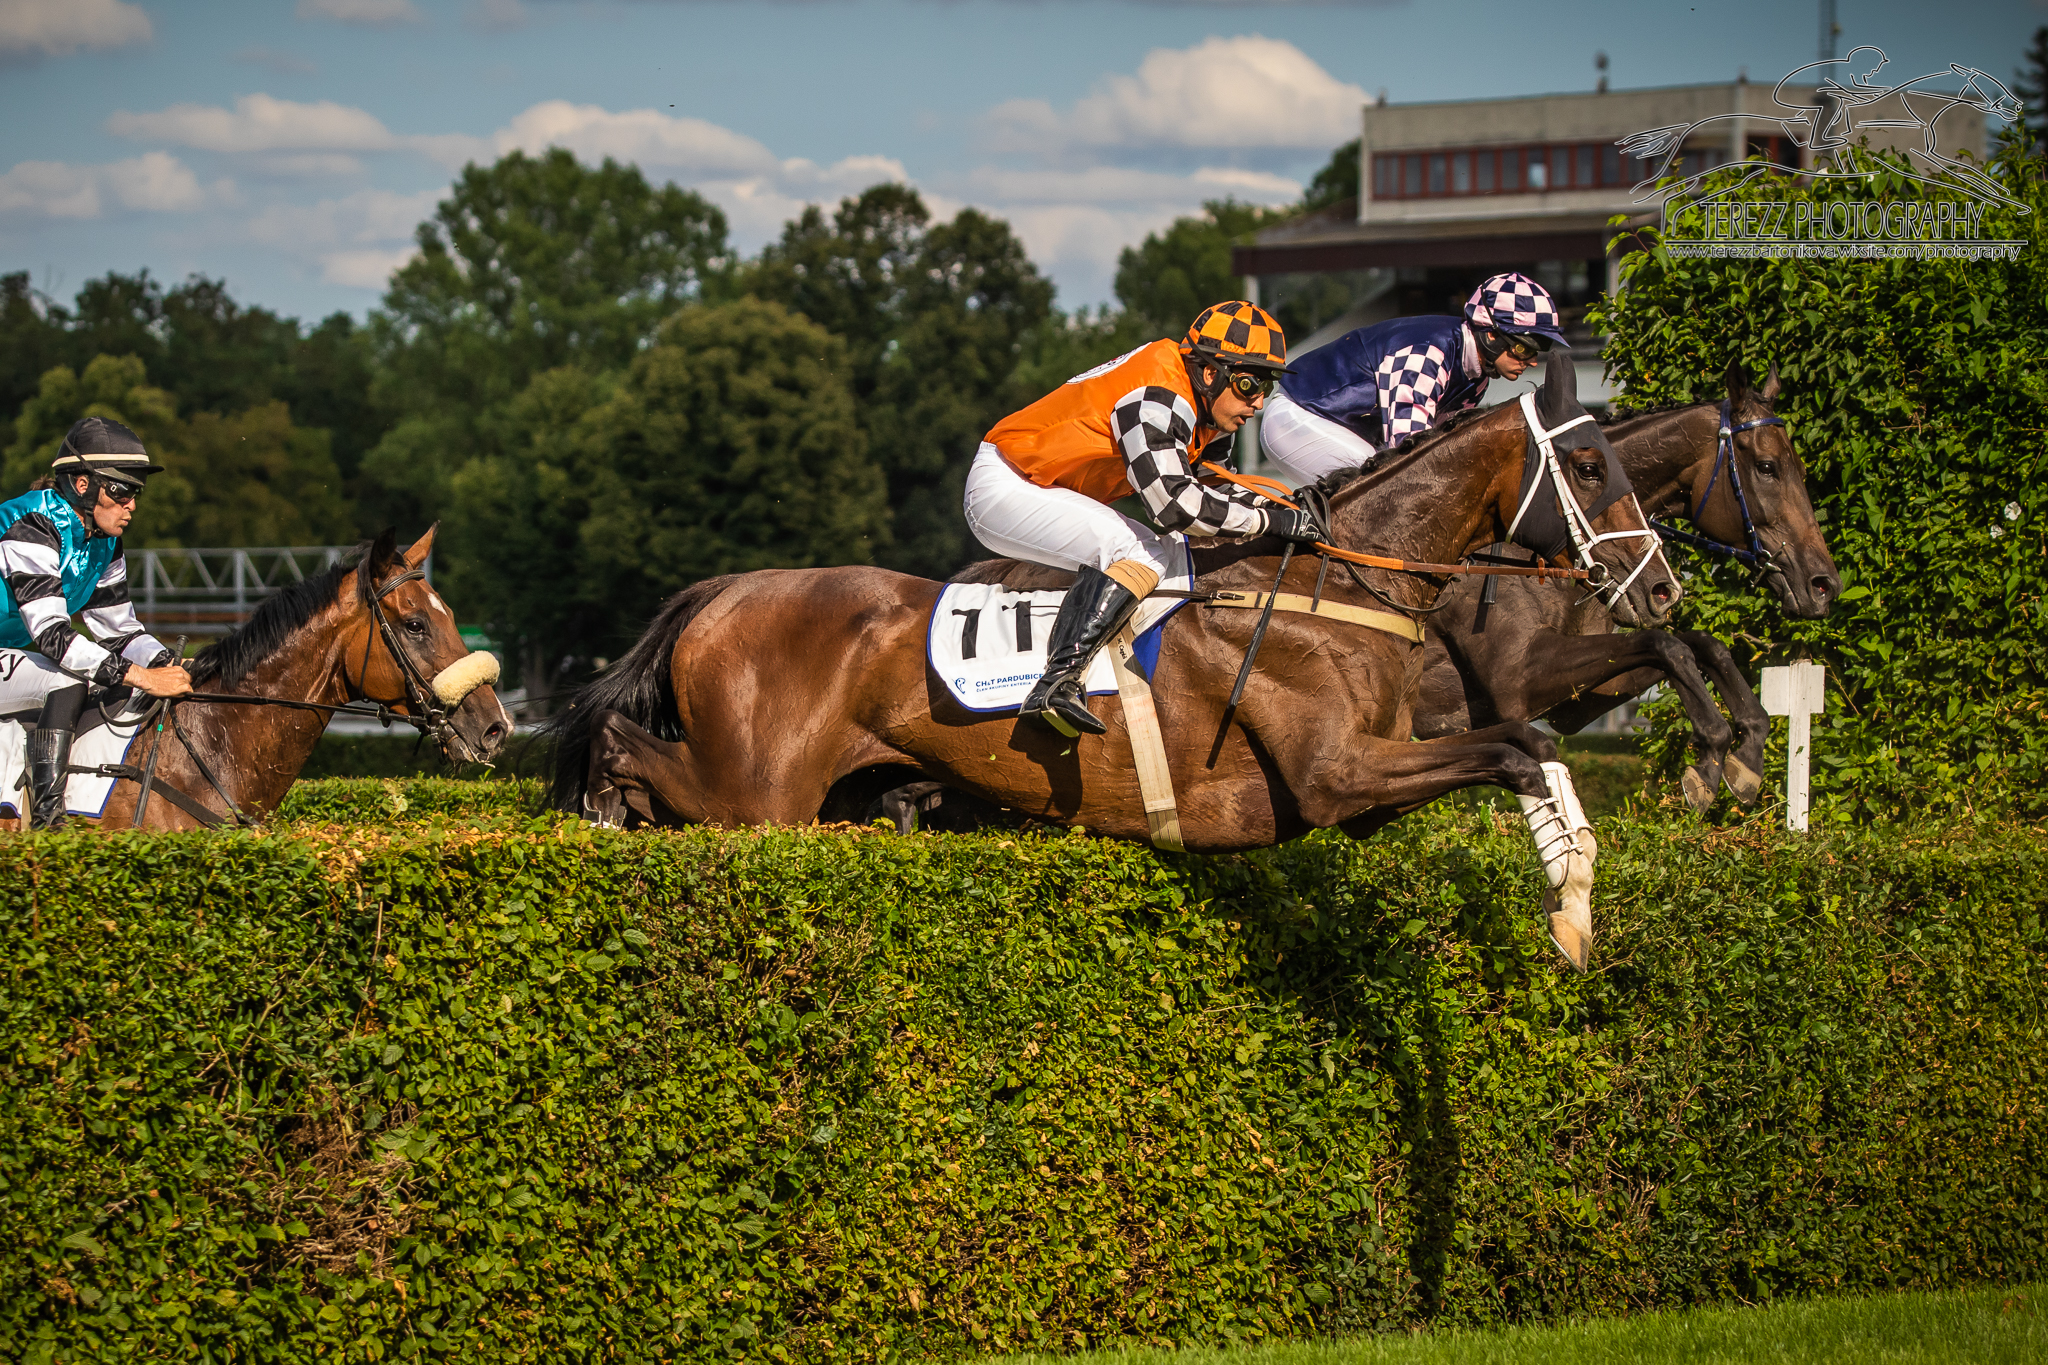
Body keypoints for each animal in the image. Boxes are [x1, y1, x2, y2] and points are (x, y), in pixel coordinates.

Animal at [548, 358, 1679, 965]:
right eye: (1588, 464)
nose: (1663, 590)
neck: (1340, 586)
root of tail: (725, 589)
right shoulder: (1333, 777)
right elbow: (1514, 744)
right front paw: (1569, 910)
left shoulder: (1364, 796)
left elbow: (1529, 744)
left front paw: (1575, 896)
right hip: (758, 793)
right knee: (627, 743)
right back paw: (597, 807)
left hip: (822, 794)